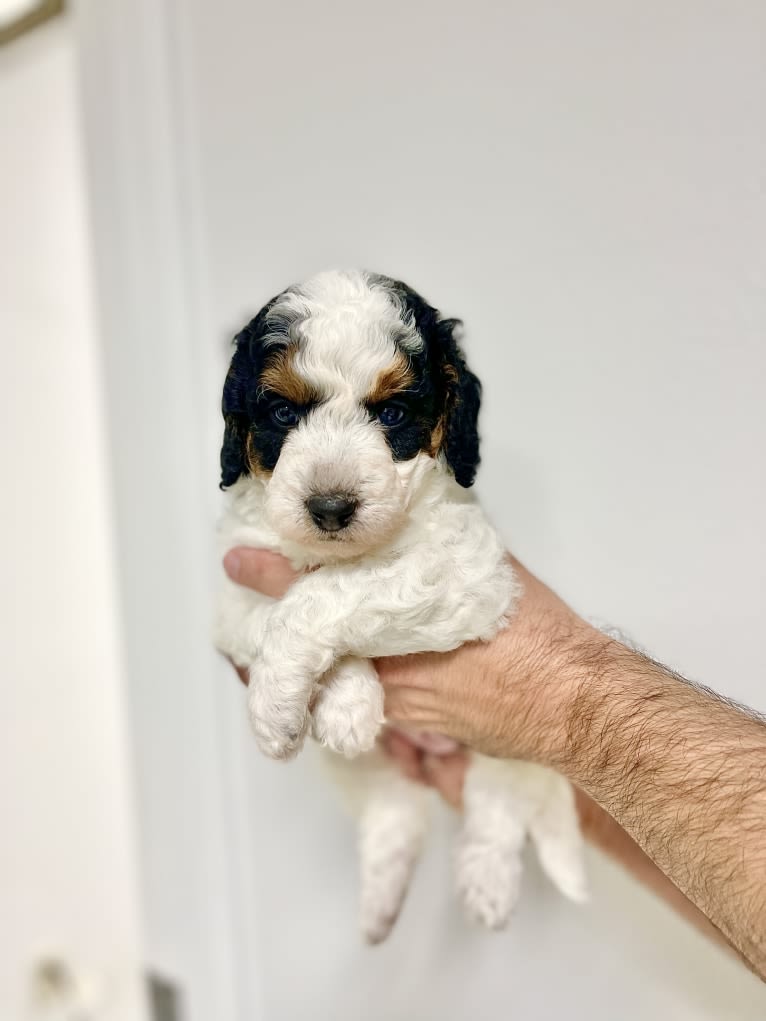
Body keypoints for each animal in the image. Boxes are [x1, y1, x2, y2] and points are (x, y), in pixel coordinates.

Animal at [216, 269, 588, 939]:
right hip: (367, 771)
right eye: (283, 411)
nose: (330, 508)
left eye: (392, 413)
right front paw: (344, 702)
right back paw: (382, 900)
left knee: (501, 793)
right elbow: (273, 609)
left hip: (510, 738)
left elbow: (320, 594)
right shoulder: (231, 582)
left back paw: (487, 881)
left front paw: (279, 708)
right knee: (395, 806)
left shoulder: (464, 571)